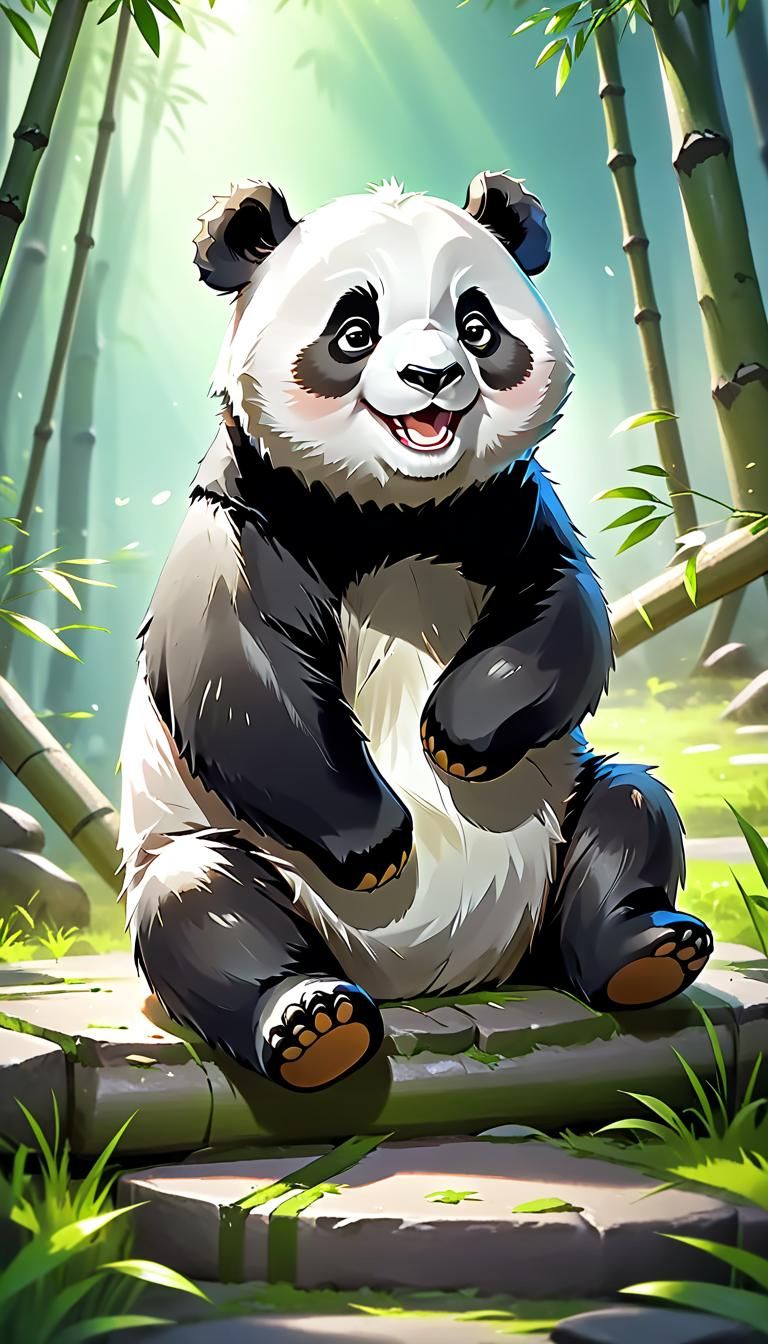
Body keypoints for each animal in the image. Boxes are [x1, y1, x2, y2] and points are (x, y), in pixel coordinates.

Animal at [119, 172, 713, 1093]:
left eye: (478, 326)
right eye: (354, 331)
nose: (433, 376)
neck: (394, 514)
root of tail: (433, 979)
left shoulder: (509, 507)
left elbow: (565, 611)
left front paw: (458, 737)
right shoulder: (245, 513)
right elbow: (237, 677)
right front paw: (377, 841)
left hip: (562, 826)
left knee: (627, 810)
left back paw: (645, 952)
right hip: (226, 852)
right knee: (204, 906)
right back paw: (312, 1024)